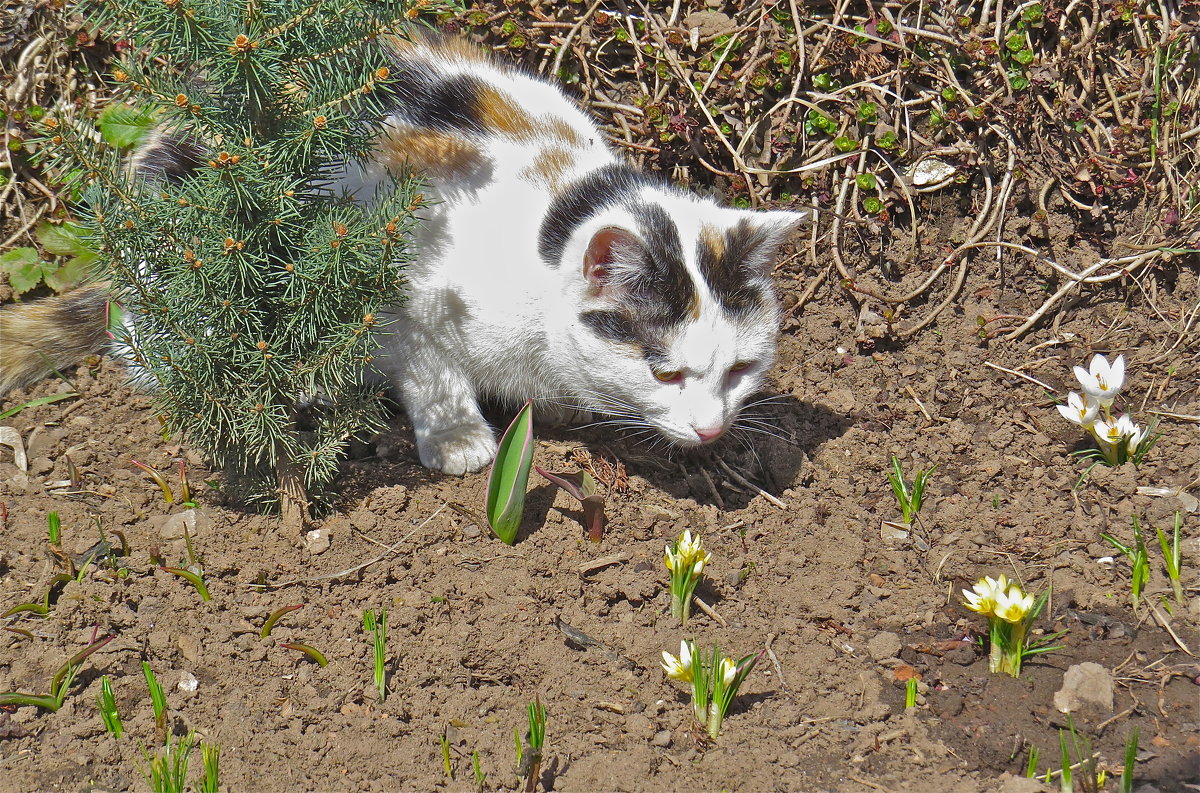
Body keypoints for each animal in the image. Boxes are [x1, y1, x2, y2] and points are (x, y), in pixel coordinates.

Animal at [0, 34, 811, 472]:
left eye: (741, 369)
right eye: (665, 371)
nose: (712, 429)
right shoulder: (397, 294)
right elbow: (431, 370)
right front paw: (460, 439)